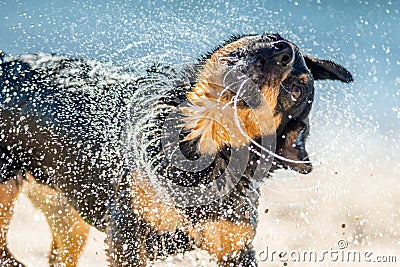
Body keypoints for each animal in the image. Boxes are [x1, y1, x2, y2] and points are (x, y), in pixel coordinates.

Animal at [0, 34, 352, 267]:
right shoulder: (128, 231)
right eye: (274, 36)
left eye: (296, 91)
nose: (285, 51)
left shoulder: (234, 245)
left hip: (66, 215)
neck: (201, 148)